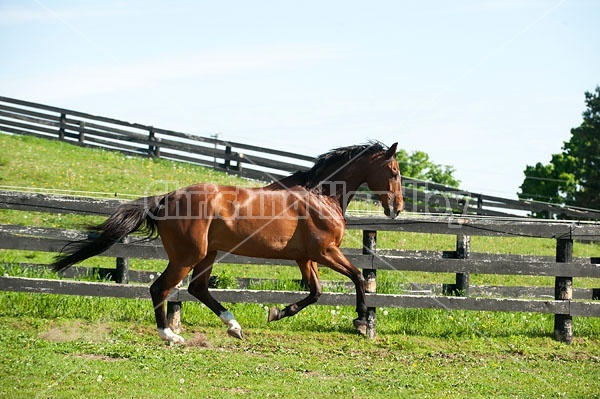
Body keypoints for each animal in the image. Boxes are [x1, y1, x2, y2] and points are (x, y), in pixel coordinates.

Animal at [52, 141, 404, 344]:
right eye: (394, 171)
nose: (397, 208)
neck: (321, 195)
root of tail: (166, 198)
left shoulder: (305, 258)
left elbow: (315, 293)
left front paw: (277, 313)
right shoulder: (325, 251)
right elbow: (357, 276)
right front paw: (361, 321)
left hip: (209, 254)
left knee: (197, 289)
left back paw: (233, 326)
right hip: (187, 256)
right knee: (160, 289)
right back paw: (170, 335)